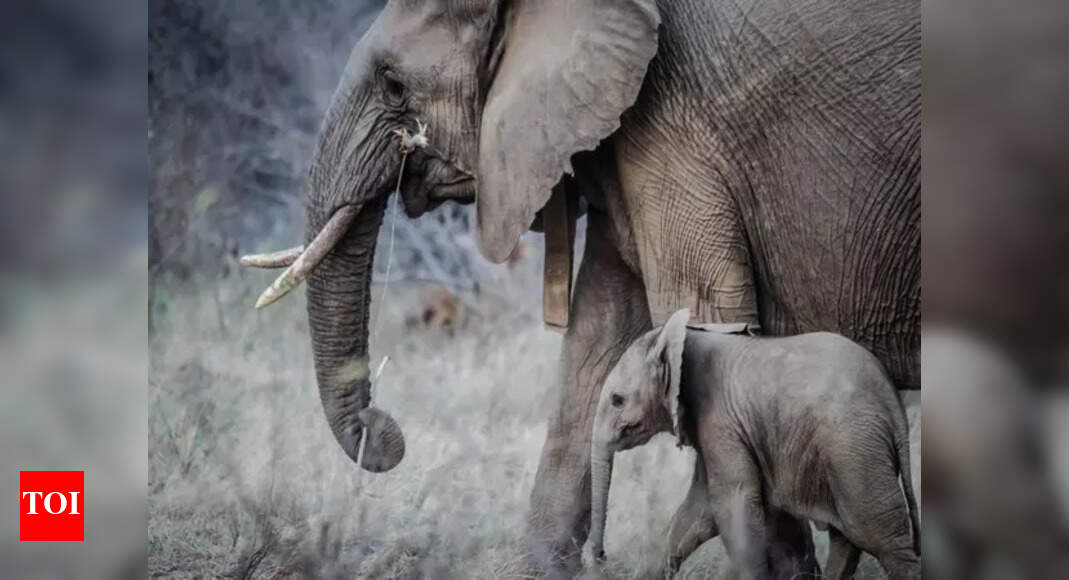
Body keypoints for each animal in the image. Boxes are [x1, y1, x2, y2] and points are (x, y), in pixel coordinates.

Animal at [587, 309, 920, 579]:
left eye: (617, 400)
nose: (600, 556)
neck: (682, 338)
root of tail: (891, 400)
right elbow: (697, 512)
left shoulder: (721, 420)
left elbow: (733, 503)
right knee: (847, 537)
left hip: (853, 448)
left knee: (881, 537)